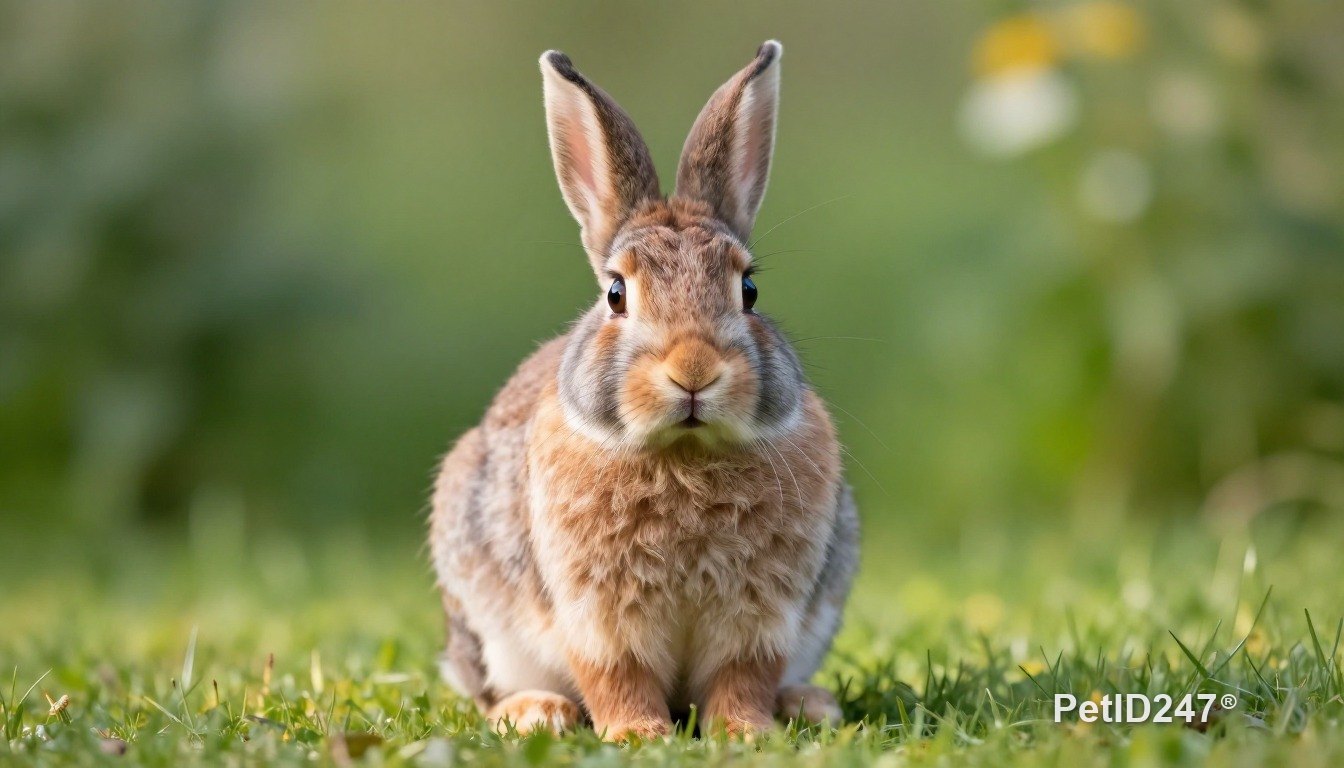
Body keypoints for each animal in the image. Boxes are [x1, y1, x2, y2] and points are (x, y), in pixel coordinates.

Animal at [428, 40, 859, 740]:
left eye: (750, 291)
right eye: (615, 293)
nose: (693, 370)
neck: (683, 453)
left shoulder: (764, 618)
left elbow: (743, 676)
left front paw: (746, 732)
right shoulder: (596, 616)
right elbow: (616, 675)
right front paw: (638, 734)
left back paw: (808, 704)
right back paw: (535, 713)